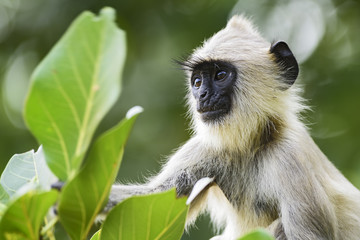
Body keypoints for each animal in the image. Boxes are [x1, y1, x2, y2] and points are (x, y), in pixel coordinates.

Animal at [105, 15, 360, 239]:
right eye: (197, 82)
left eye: (220, 75)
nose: (202, 95)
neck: (252, 145)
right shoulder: (205, 149)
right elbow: (152, 199)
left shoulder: (290, 156)